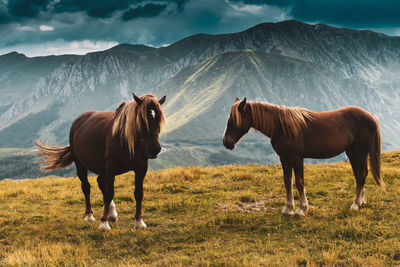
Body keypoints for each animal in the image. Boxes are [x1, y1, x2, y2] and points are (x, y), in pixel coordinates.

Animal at [35, 93, 165, 230]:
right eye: (142, 120)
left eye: (159, 120)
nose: (155, 149)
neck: (127, 140)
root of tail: (78, 121)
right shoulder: (111, 167)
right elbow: (109, 192)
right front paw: (104, 223)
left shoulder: (141, 168)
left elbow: (138, 193)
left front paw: (139, 222)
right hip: (81, 165)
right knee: (86, 187)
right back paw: (89, 215)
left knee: (100, 182)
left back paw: (112, 214)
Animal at [223, 98, 382, 216]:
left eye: (234, 120)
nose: (226, 143)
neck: (282, 127)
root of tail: (371, 115)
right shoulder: (284, 159)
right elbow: (287, 181)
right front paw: (287, 208)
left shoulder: (297, 158)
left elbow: (299, 183)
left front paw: (301, 209)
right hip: (352, 152)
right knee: (360, 175)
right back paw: (360, 202)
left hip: (361, 151)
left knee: (361, 175)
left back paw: (355, 205)